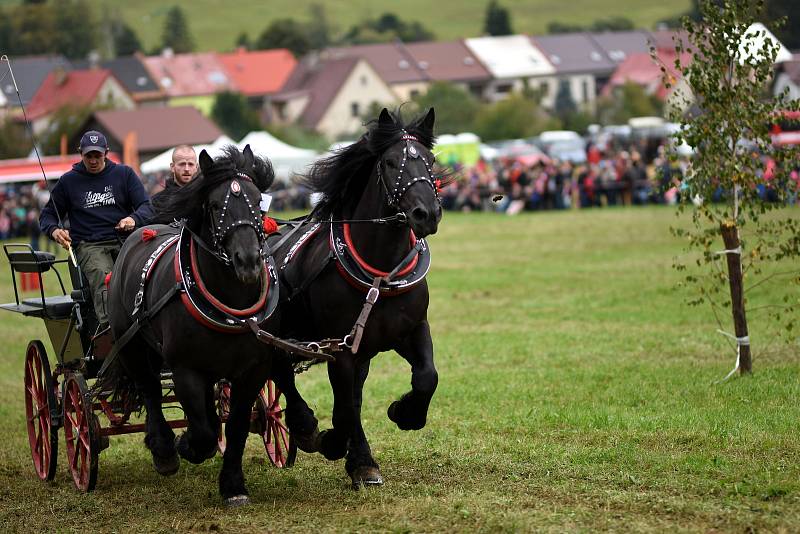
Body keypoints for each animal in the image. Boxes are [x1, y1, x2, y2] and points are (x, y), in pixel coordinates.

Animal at [104, 144, 282, 504]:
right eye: (214, 206)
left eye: (258, 201)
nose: (248, 261)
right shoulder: (185, 369)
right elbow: (201, 431)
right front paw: (185, 444)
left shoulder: (253, 370)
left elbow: (236, 425)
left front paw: (233, 485)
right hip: (131, 345)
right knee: (150, 390)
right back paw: (163, 449)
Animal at [276, 109, 444, 490]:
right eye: (391, 162)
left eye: (429, 161)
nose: (427, 213)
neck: (379, 277)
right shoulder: (339, 349)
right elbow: (343, 409)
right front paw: (341, 447)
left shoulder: (411, 330)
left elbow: (427, 377)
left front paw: (405, 413)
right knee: (282, 377)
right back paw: (305, 428)